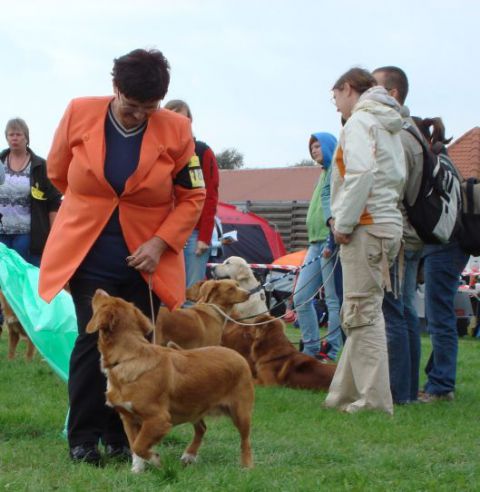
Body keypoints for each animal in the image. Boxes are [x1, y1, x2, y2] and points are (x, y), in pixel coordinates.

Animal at [88, 288, 256, 472]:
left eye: (106, 301)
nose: (98, 290)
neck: (128, 357)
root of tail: (235, 353)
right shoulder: (129, 419)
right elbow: (134, 447)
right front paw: (137, 471)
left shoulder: (159, 419)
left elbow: (139, 446)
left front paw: (155, 460)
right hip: (194, 406)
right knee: (202, 428)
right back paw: (189, 455)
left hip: (240, 411)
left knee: (245, 440)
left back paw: (247, 466)